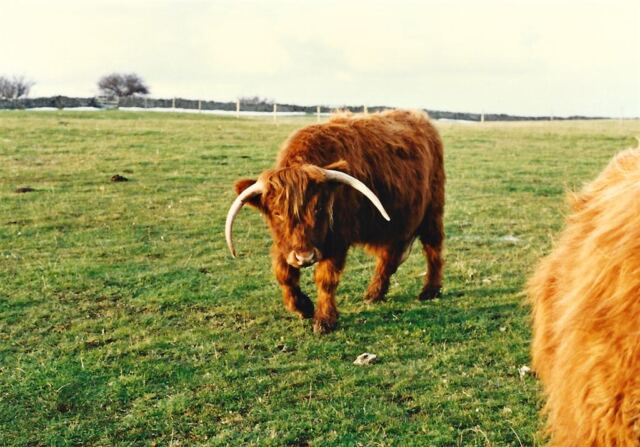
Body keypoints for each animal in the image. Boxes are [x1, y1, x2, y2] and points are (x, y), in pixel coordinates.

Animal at [225, 109, 445, 333]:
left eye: (318, 208)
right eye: (277, 213)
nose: (304, 257)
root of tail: (419, 117)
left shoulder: (338, 239)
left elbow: (326, 278)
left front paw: (324, 320)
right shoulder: (283, 244)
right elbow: (283, 274)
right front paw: (303, 307)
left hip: (433, 210)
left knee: (433, 248)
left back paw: (430, 290)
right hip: (394, 224)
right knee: (388, 256)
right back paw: (374, 293)